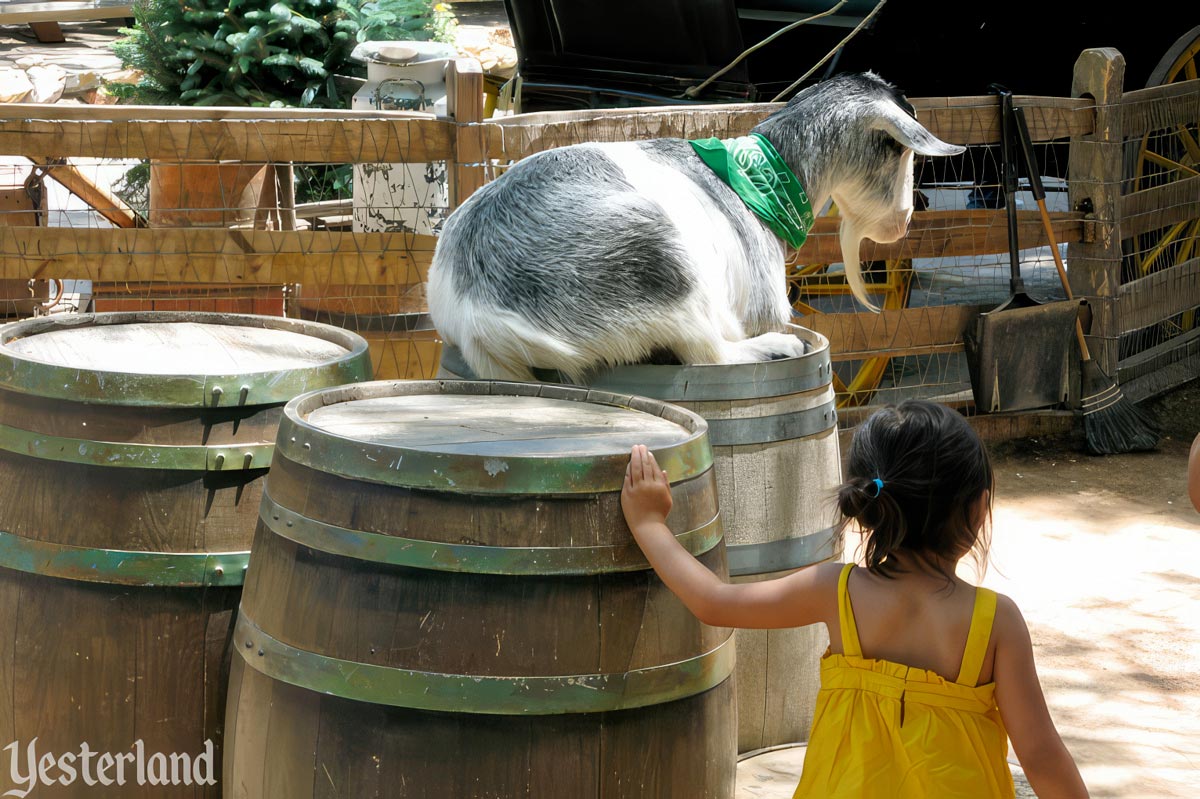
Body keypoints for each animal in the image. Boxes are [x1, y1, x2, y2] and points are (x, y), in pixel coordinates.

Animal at [429, 71, 964, 379]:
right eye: (898, 148)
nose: (903, 221)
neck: (761, 175)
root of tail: (479, 308)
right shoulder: (763, 301)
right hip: (664, 264)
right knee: (709, 354)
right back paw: (775, 348)